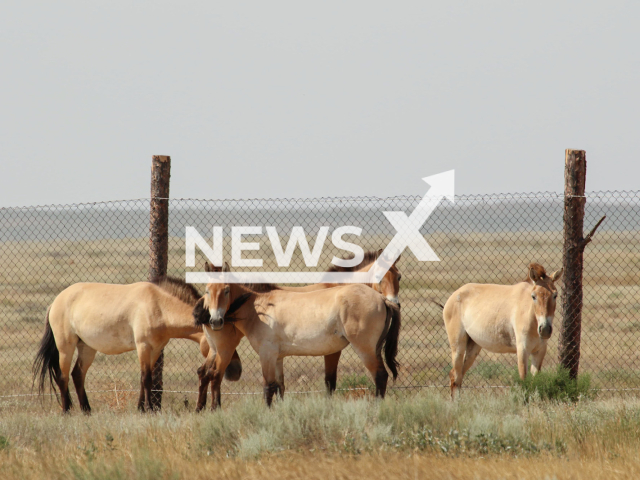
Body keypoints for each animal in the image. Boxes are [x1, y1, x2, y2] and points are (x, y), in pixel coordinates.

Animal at [31, 278, 240, 412]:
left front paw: (141, 408)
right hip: (65, 346)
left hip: (87, 347)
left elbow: (144, 379)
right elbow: (147, 378)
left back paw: (86, 410)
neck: (160, 306)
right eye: (220, 340)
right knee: (62, 376)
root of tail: (55, 302)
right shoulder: (143, 347)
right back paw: (67, 410)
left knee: (77, 375)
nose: (236, 371)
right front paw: (148, 409)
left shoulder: (155, 350)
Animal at [196, 248, 404, 408]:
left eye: (226, 290)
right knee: (210, 375)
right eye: (207, 290)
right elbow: (279, 386)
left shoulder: (267, 355)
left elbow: (268, 387)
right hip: (220, 349)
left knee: (380, 376)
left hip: (366, 350)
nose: (215, 320)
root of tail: (382, 299)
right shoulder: (277, 357)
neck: (258, 307)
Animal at [442, 262, 564, 398]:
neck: (529, 314)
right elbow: (524, 381)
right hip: (458, 346)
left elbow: (534, 381)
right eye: (533, 296)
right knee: (455, 376)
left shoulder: (539, 352)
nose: (545, 329)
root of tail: (454, 295)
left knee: (458, 376)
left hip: (473, 347)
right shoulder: (522, 350)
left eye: (555, 295)